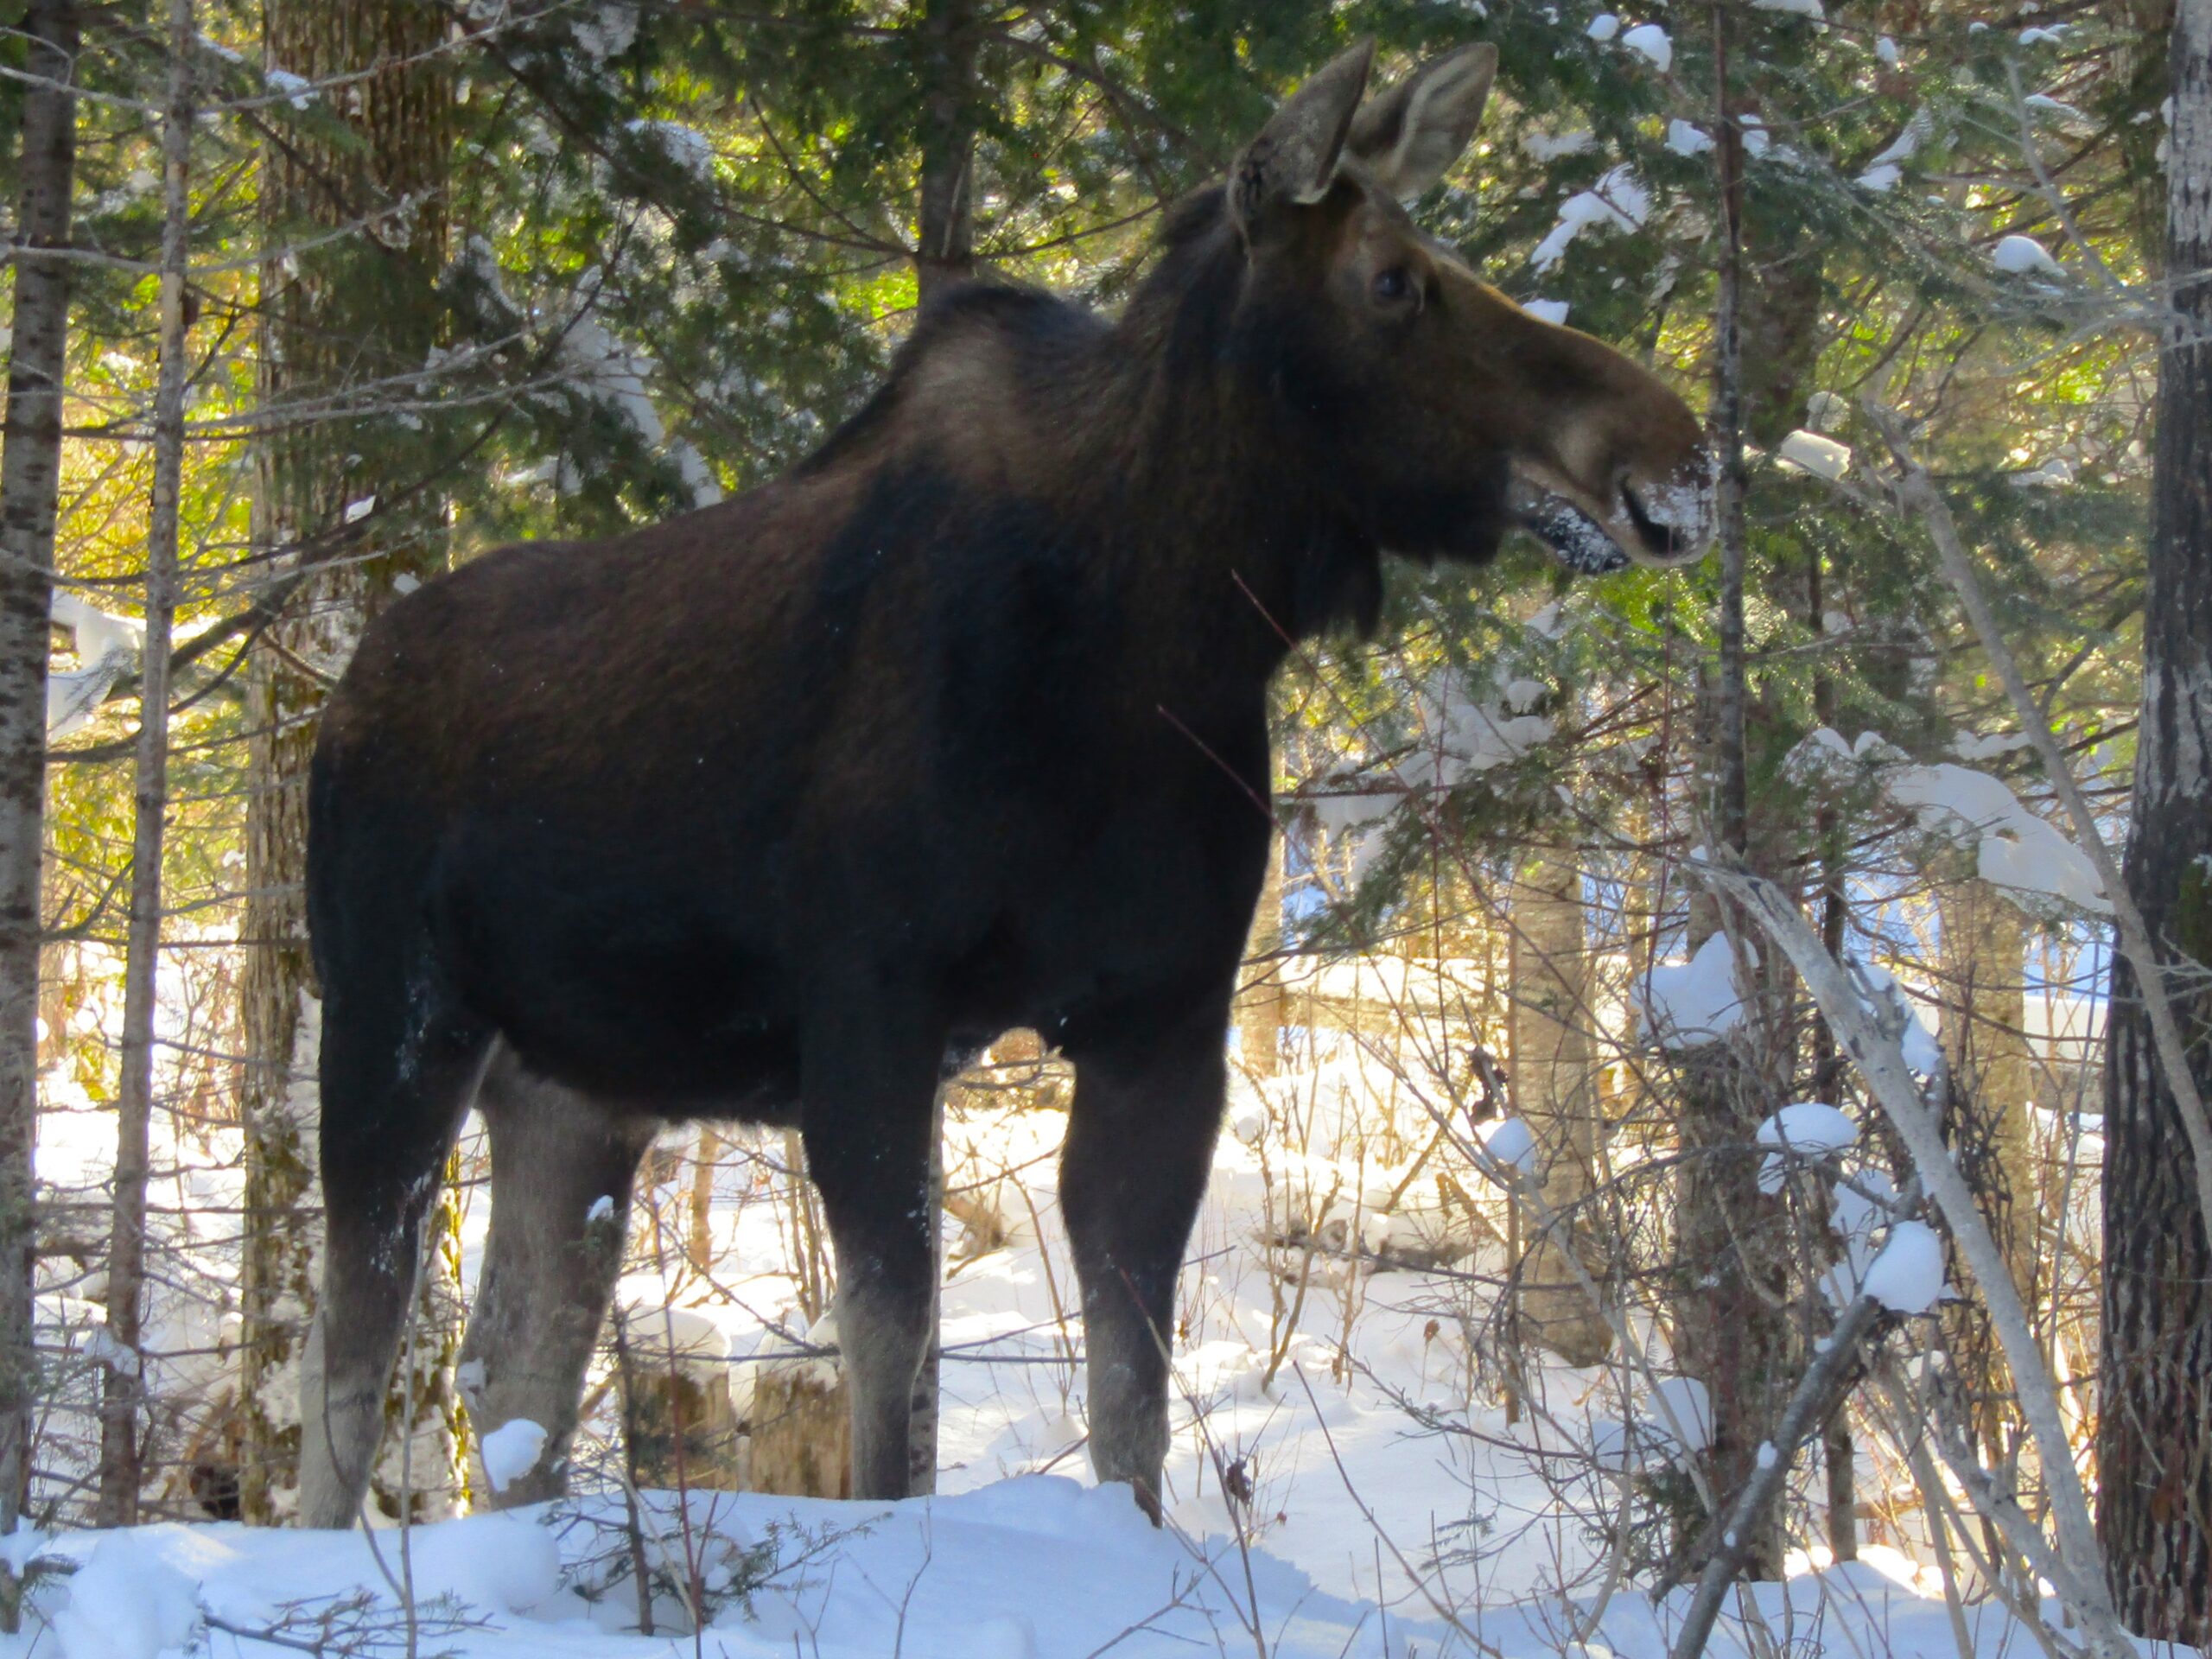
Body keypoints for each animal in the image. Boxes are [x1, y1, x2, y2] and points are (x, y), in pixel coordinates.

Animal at [298, 39, 1707, 1530]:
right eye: (1391, 278)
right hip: (393, 1020)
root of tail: (344, 694)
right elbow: (892, 1388)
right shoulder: (871, 1010)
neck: (1161, 643)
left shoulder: (1164, 1022)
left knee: (515, 1366)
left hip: (577, 1085)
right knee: (350, 1371)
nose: (1676, 449)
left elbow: (1133, 1413)